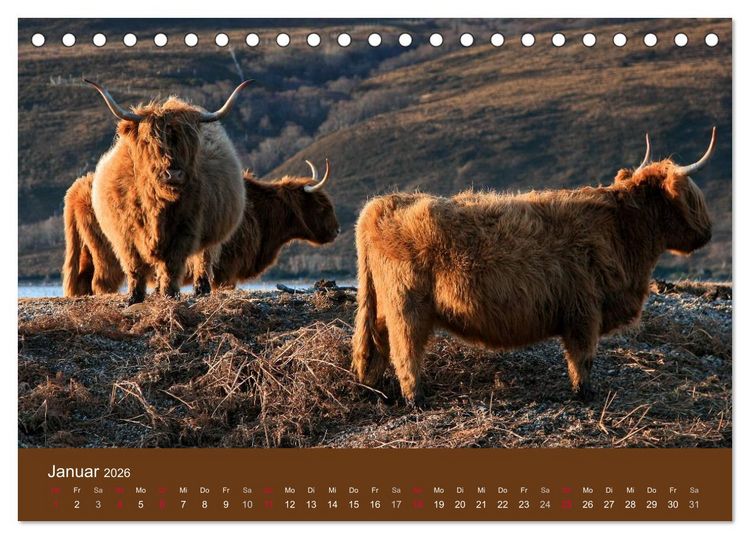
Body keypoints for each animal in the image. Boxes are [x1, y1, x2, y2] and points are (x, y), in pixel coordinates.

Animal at [63, 160, 340, 294]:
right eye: (323, 207)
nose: (337, 231)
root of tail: (77, 188)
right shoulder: (227, 269)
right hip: (109, 254)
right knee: (101, 282)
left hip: (88, 250)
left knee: (83, 280)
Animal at [70, 79, 251, 304]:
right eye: (150, 141)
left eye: (189, 143)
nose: (173, 173)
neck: (157, 204)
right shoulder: (126, 234)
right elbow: (135, 266)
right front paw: (134, 297)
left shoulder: (185, 231)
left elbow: (172, 265)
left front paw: (170, 294)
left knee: (203, 258)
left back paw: (201, 289)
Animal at [351, 129, 716, 408]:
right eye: (692, 195)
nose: (709, 233)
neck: (623, 229)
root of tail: (382, 203)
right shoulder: (584, 311)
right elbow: (583, 357)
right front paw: (585, 393)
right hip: (407, 305)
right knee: (405, 351)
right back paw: (416, 398)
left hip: (385, 305)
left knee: (377, 341)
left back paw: (378, 389)